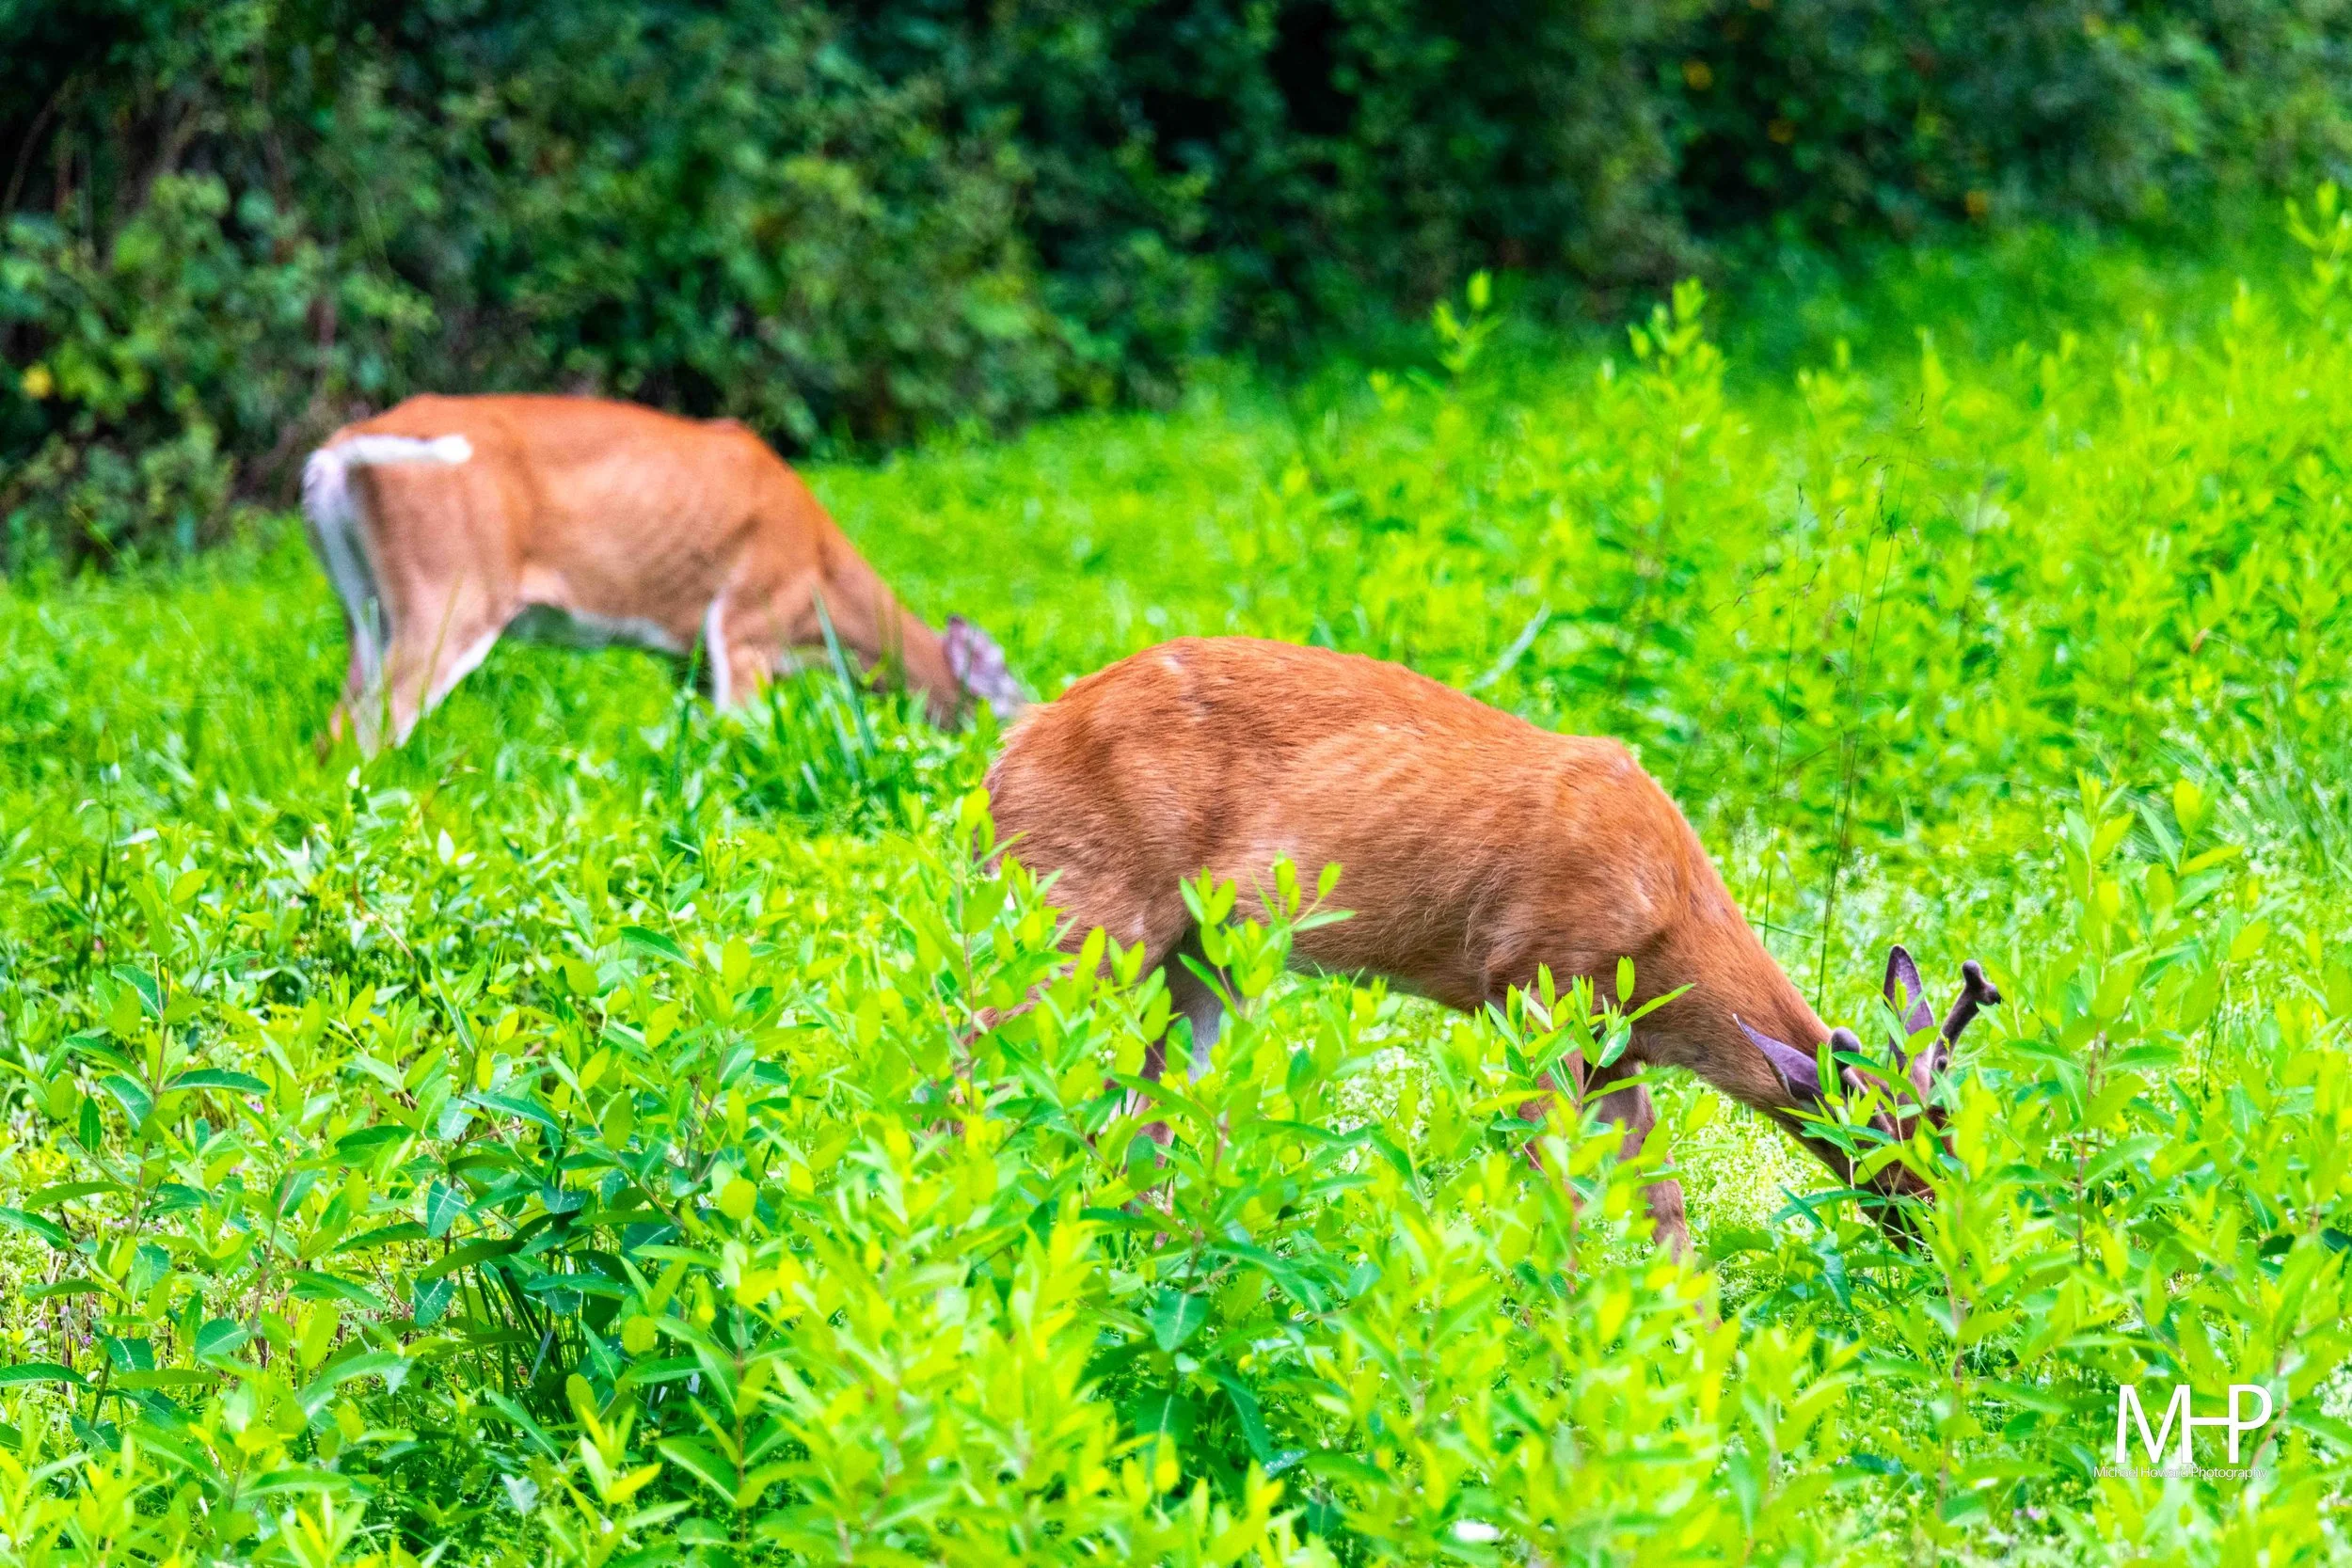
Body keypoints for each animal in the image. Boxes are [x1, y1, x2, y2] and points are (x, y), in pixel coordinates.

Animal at [299, 394, 1025, 754]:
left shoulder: (691, 659)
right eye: (1012, 700)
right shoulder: (745, 627)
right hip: (450, 590)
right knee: (365, 729)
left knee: (333, 729)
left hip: (365, 608)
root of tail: (334, 451)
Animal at [982, 636, 2001, 1255]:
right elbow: (1558, 1182)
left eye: (1952, 1127)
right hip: (1076, 907)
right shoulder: (1534, 980)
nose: (1949, 1237)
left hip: (1203, 959)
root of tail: (1001, 760)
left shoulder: (1618, 1047)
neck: (1665, 921)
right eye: (1893, 1137)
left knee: (1144, 1117)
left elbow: (1661, 1192)